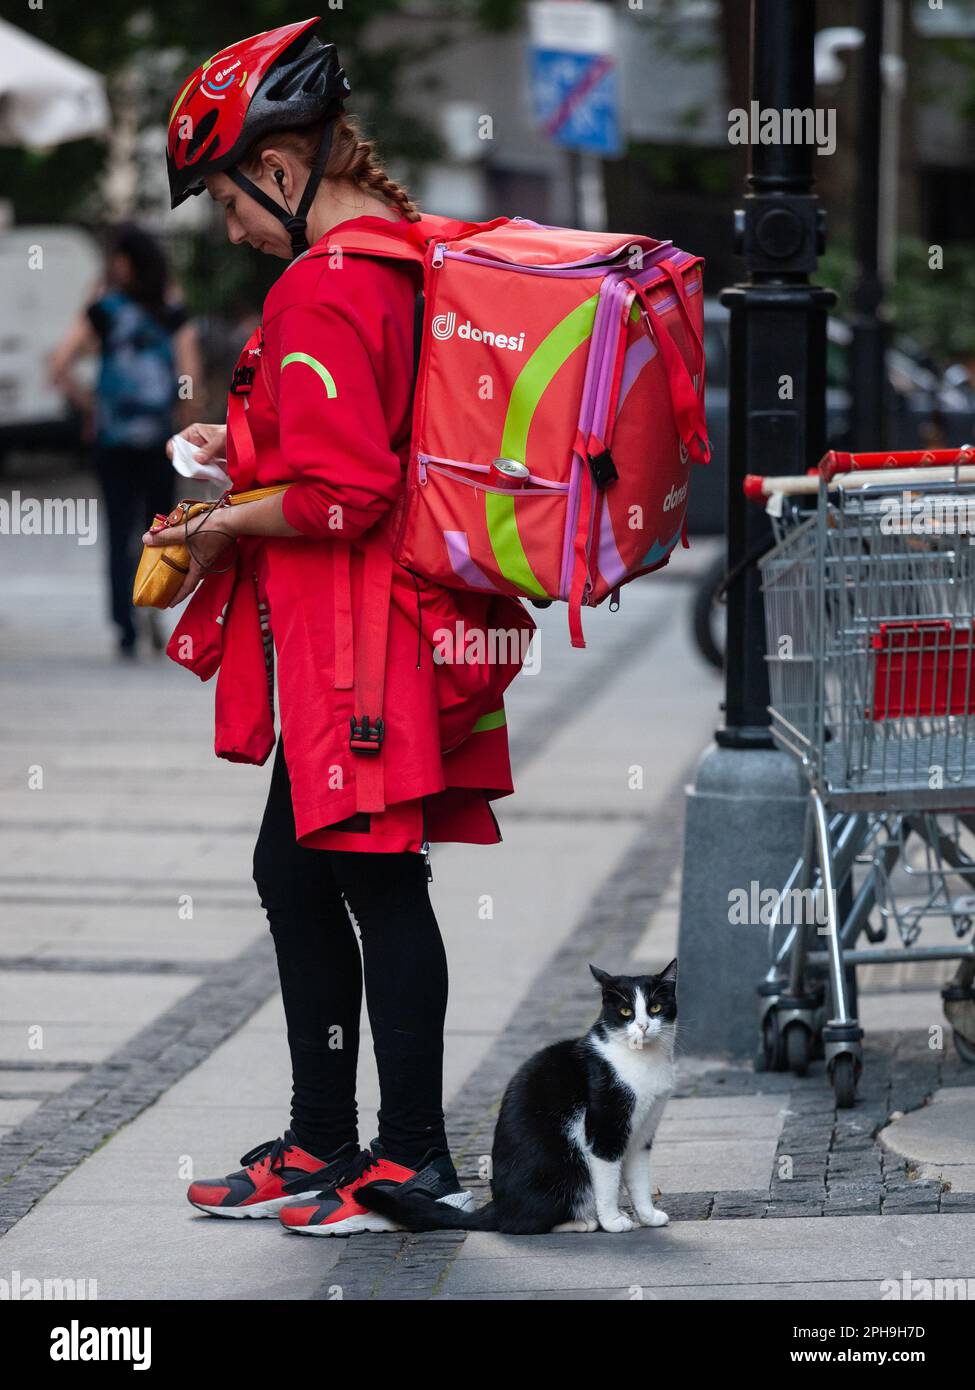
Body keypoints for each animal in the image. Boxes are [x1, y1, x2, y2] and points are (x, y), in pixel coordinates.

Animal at [358, 956, 675, 1239]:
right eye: (625, 1012)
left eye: (656, 1007)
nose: (643, 1026)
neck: (643, 1062)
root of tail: (497, 1205)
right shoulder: (605, 1130)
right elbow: (607, 1181)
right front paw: (612, 1221)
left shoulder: (642, 1134)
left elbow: (639, 1178)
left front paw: (648, 1216)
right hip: (560, 1167)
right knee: (519, 1225)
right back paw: (581, 1222)